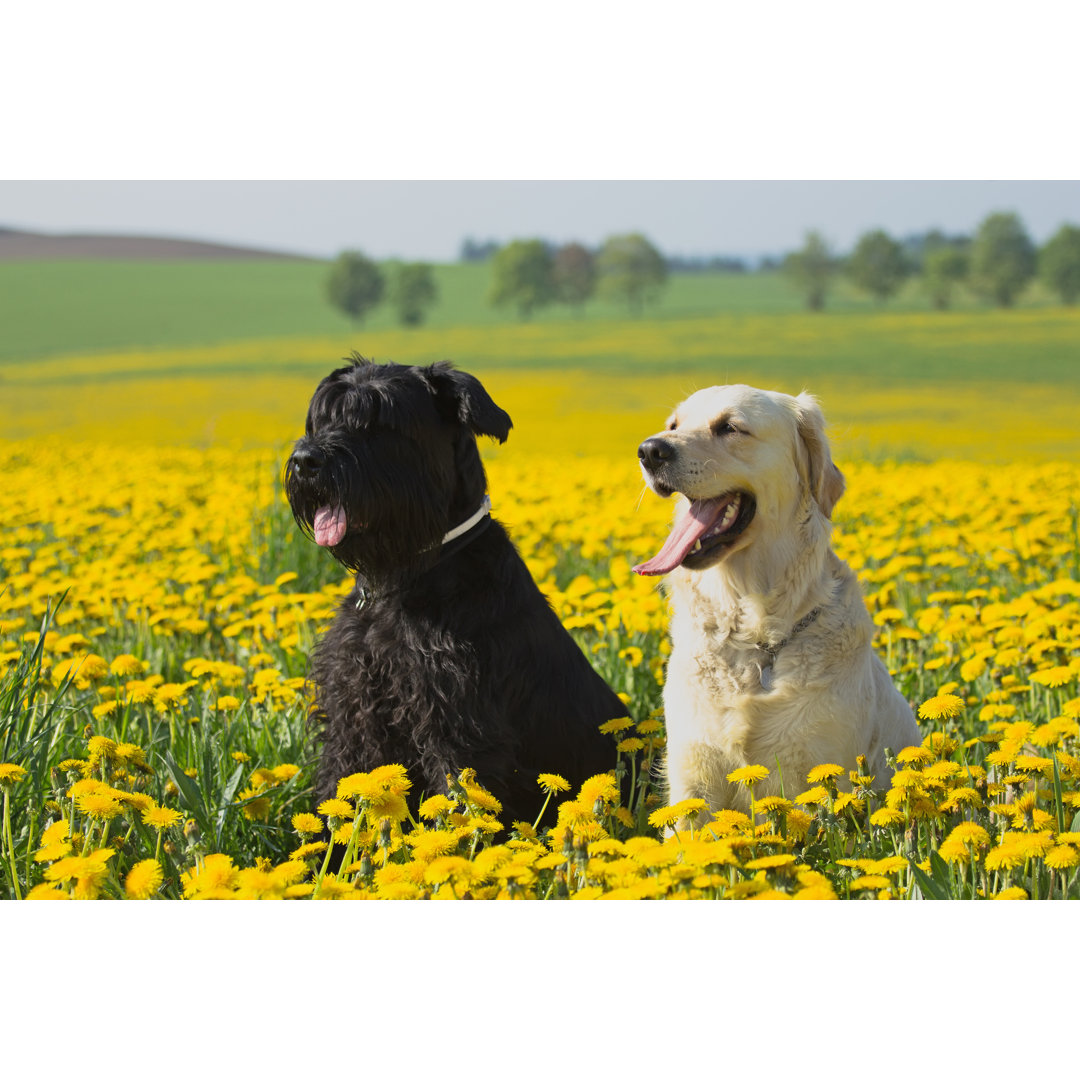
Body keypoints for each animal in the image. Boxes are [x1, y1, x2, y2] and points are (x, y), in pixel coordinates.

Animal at [282, 358, 630, 829]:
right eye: (323, 418)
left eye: (381, 422)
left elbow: (460, 800)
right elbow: (341, 780)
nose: (306, 460)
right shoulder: (352, 709)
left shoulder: (456, 723)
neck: (406, 578)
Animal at [630, 384, 920, 812]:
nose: (650, 450)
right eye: (673, 425)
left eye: (730, 427)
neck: (757, 638)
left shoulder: (814, 772)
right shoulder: (693, 774)